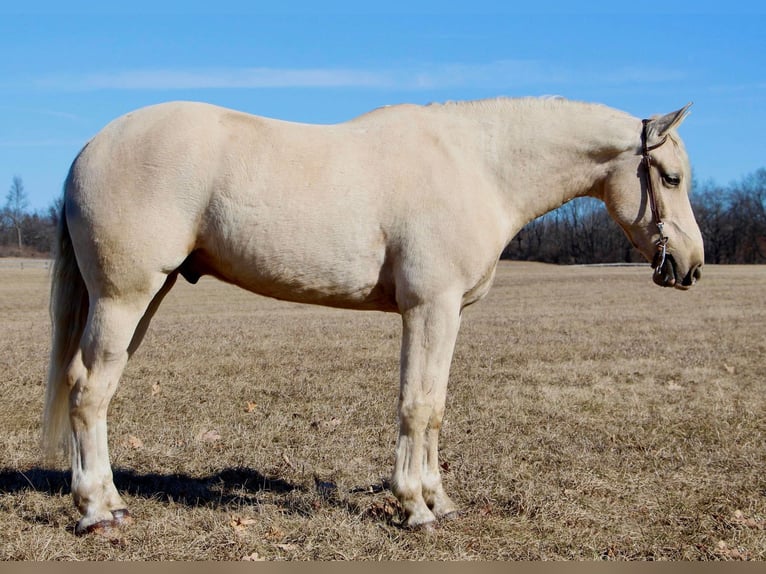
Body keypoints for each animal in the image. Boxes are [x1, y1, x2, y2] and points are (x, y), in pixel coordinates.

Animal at [40, 95, 704, 536]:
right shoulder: (429, 309)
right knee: (90, 393)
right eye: (670, 178)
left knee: (88, 387)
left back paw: (106, 501)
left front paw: (440, 501)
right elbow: (417, 405)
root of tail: (88, 151)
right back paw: (96, 511)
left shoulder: (445, 315)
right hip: (124, 297)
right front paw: (414, 509)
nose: (691, 267)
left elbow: (435, 408)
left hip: (144, 299)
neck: (477, 165)